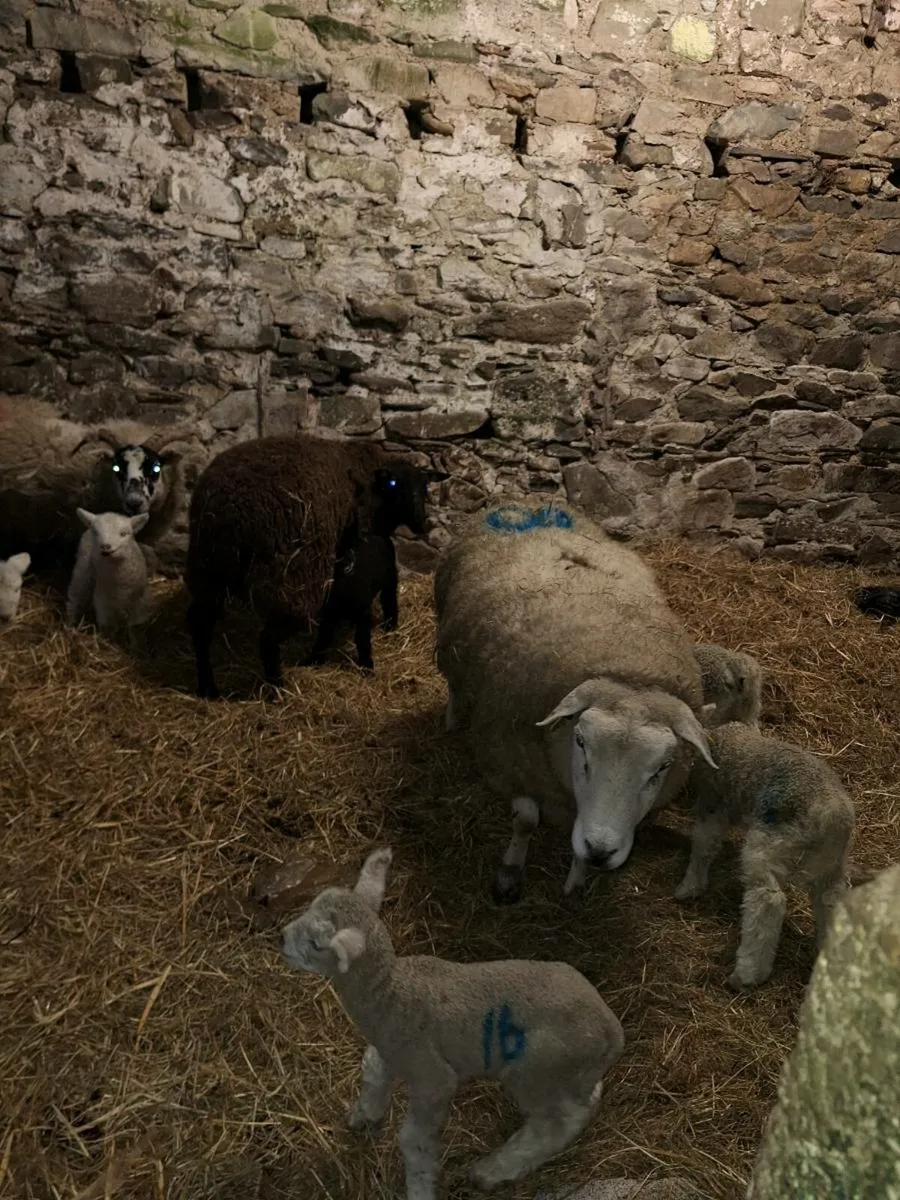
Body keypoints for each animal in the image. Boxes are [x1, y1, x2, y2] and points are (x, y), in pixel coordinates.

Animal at [66, 509, 151, 646]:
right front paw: (109, 643)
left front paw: (137, 646)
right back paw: (71, 624)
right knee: (75, 597)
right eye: (96, 532)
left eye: (123, 533)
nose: (105, 546)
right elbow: (108, 627)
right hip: (82, 571)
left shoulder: (140, 601)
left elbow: (136, 627)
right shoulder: (102, 601)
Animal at [184, 434, 428, 699]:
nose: (422, 523)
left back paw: (208, 688)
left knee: (200, 627)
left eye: (424, 488)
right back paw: (277, 690)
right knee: (268, 639)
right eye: (395, 485)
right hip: (291, 585)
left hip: (209, 573)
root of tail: (226, 509)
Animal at [279, 847, 625, 1200]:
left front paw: (420, 1187)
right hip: (569, 1075)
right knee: (588, 1098)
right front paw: (365, 1115)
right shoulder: (389, 1048)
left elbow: (413, 1139)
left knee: (560, 1123)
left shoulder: (433, 1078)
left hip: (536, 1071)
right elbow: (372, 1070)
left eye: (317, 944)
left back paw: (495, 1169)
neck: (392, 991)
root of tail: (613, 1032)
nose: (282, 938)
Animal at [434, 505, 716, 905]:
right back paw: (453, 716)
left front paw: (577, 877)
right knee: (455, 684)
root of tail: (521, 501)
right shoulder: (512, 763)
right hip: (450, 641)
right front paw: (509, 873)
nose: (600, 850)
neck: (628, 673)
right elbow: (525, 822)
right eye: (581, 743)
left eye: (663, 767)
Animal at [675, 721, 855, 991]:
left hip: (769, 845)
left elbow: (704, 843)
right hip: (831, 863)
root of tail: (830, 815)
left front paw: (689, 887)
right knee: (831, 901)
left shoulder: (713, 802)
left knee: (768, 900)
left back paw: (747, 973)